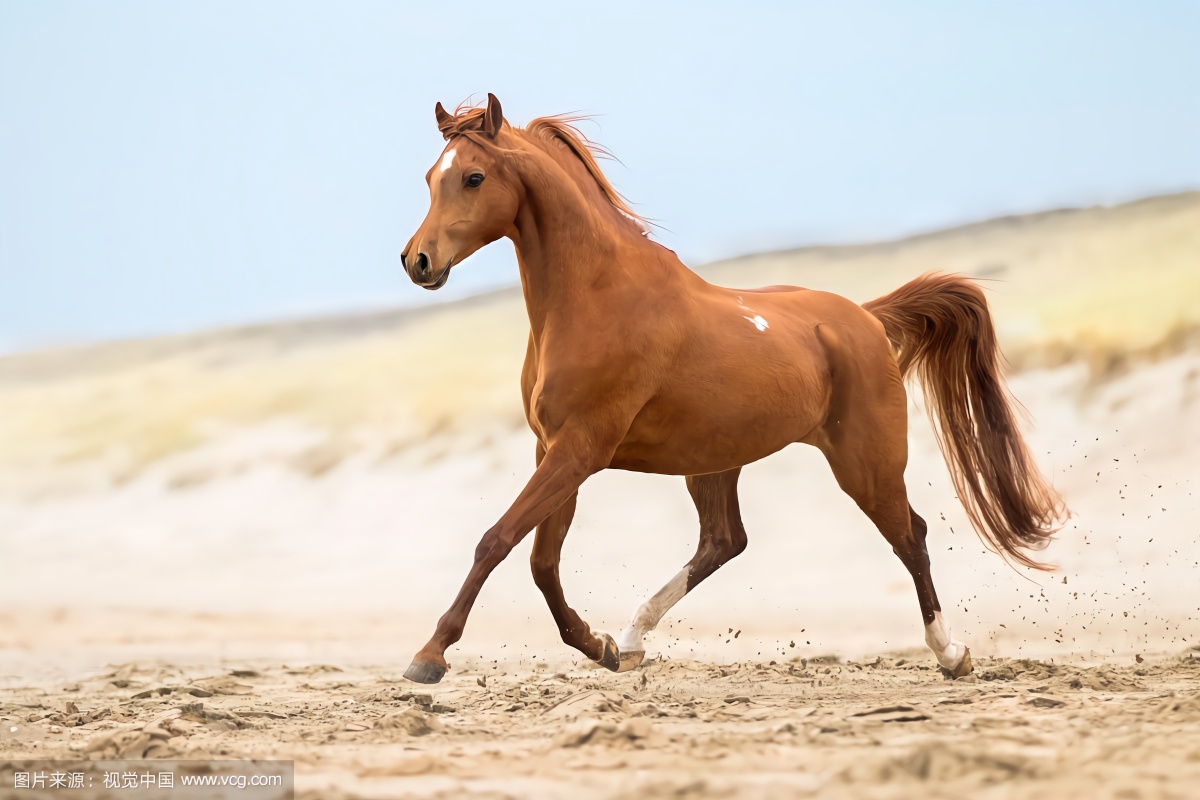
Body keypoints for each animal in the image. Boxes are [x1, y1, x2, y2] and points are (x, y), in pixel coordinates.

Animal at [398, 92, 1065, 681]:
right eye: (432, 176)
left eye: (474, 177)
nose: (417, 262)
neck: (596, 298)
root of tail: (866, 317)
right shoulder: (553, 448)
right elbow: (541, 562)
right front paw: (600, 646)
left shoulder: (579, 449)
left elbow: (497, 540)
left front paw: (429, 657)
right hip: (713, 461)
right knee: (724, 541)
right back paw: (634, 639)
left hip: (866, 463)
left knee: (910, 536)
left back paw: (951, 654)